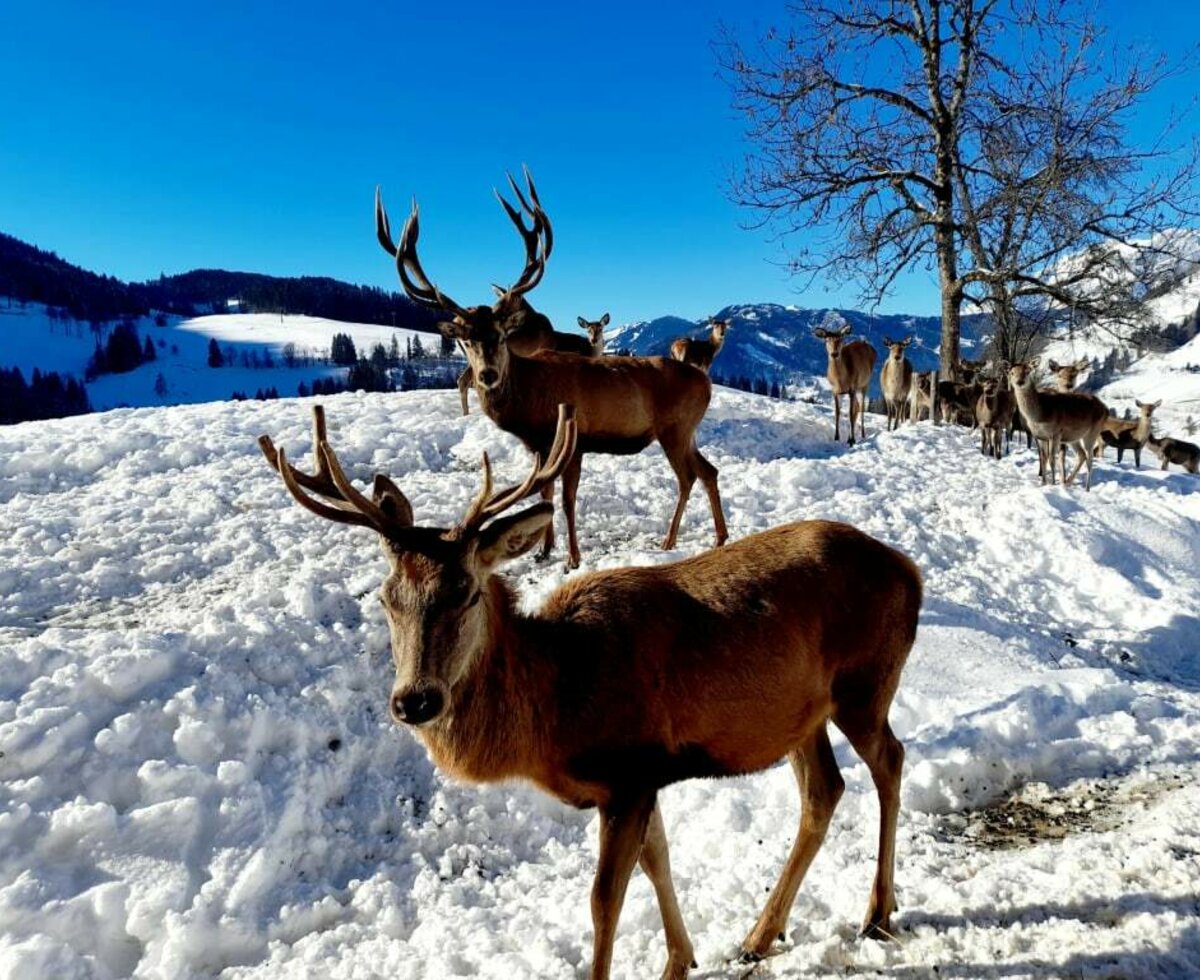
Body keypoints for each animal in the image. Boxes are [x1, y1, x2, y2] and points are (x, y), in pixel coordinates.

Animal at [258, 400, 921, 978]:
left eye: (466, 592)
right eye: (385, 598)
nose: (415, 700)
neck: (558, 705)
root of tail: (910, 572)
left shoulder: (628, 771)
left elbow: (605, 901)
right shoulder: (642, 779)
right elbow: (658, 861)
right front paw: (681, 961)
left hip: (866, 683)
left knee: (890, 759)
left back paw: (878, 913)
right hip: (801, 715)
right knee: (824, 791)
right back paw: (760, 935)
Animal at [374, 167, 724, 566]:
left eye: (501, 335)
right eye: (464, 339)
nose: (487, 374)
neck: (529, 398)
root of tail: (704, 380)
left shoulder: (575, 439)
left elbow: (568, 501)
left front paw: (573, 557)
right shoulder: (540, 445)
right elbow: (546, 495)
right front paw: (543, 549)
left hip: (675, 427)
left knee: (688, 477)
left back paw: (669, 540)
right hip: (687, 430)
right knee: (708, 471)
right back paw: (719, 536)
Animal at [1003, 357, 1104, 487]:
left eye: (1027, 371)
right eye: (1012, 372)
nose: (1019, 382)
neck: (1040, 416)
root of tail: (1104, 408)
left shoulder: (1055, 433)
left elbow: (1052, 459)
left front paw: (1052, 483)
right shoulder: (1040, 436)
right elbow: (1043, 458)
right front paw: (1043, 483)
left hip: (1093, 432)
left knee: (1090, 459)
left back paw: (1087, 488)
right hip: (1073, 437)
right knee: (1081, 455)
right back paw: (1068, 482)